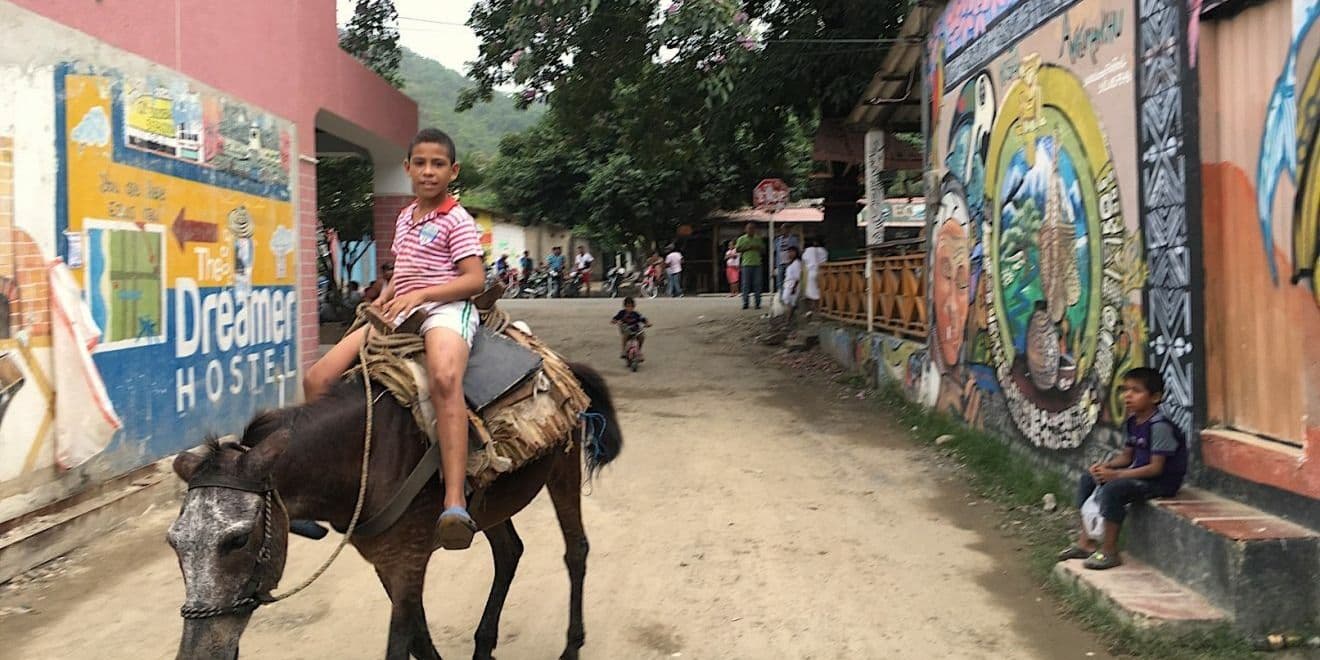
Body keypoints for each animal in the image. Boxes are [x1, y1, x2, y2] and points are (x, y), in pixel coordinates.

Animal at [167, 364, 620, 657]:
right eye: (174, 543)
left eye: (238, 539)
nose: (197, 654)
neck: (362, 460)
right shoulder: (386, 564)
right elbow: (418, 638)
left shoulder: (408, 560)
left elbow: (402, 644)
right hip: (490, 506)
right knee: (509, 552)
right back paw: (484, 644)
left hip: (562, 472)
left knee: (576, 550)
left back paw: (571, 646)